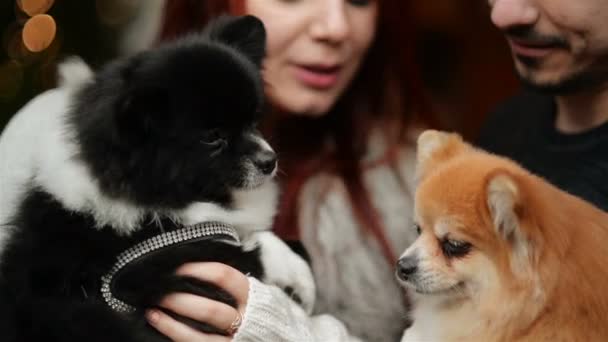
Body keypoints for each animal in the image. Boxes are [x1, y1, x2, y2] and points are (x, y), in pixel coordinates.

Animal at [0, 14, 314, 340]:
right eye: (213, 138)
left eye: (253, 121)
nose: (269, 161)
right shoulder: (184, 266)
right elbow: (253, 247)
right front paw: (297, 271)